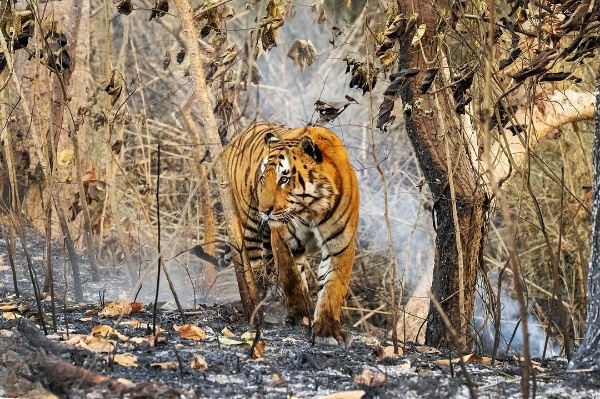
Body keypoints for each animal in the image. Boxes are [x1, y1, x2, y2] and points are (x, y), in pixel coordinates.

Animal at [218, 123, 356, 346]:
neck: (312, 209)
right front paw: (299, 315)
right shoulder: (282, 238)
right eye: (263, 178)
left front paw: (326, 329)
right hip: (249, 226)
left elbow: (332, 287)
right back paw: (262, 296)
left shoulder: (341, 244)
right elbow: (290, 276)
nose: (264, 210)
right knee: (256, 265)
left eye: (284, 179)